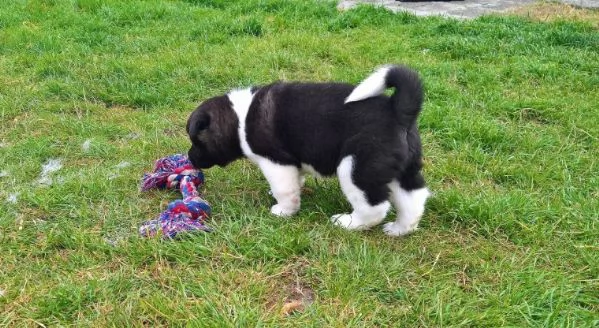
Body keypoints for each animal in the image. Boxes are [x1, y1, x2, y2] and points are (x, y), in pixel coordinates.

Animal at [188, 64, 432, 236]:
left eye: (196, 141)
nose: (189, 158)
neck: (240, 120)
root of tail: (397, 111)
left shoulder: (276, 163)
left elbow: (285, 190)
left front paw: (283, 211)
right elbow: (296, 182)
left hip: (355, 168)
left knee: (374, 208)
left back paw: (347, 223)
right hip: (405, 171)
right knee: (414, 199)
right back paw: (398, 230)